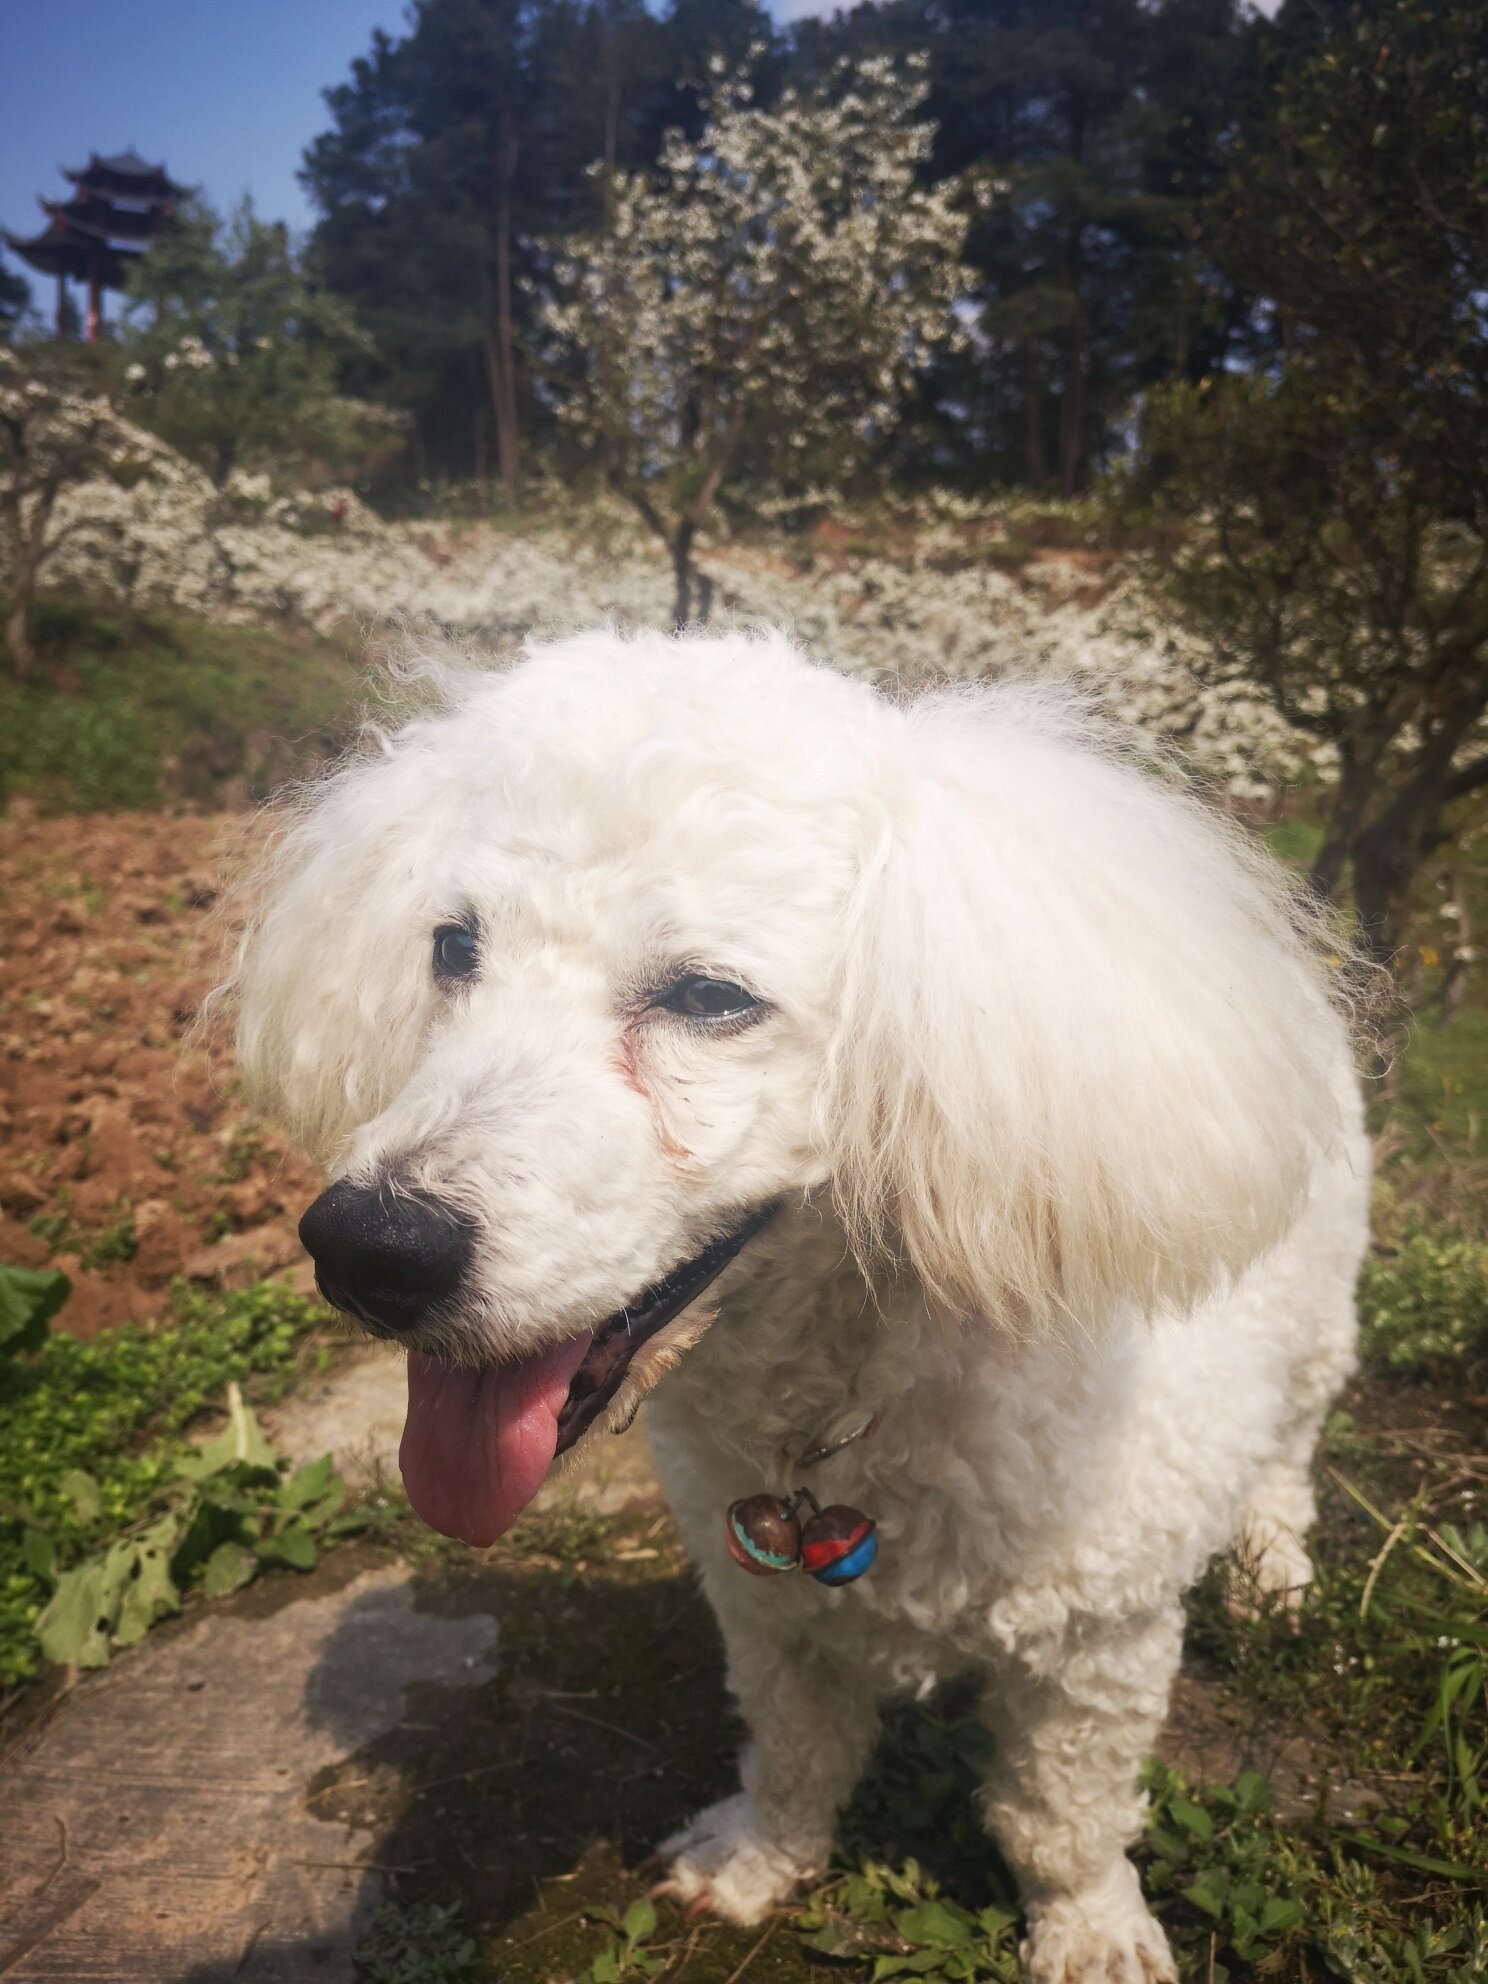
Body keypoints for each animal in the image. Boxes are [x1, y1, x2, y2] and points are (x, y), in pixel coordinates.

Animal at [232, 628, 1367, 1983]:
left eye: (710, 996)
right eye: (452, 948)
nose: (368, 1249)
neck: (854, 1396)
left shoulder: (1100, 1640)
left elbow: (1062, 1812)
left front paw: (1092, 1927)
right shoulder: (765, 1604)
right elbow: (795, 1749)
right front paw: (758, 1862)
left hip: (1318, 1315)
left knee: (1288, 1450)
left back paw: (1275, 1570)